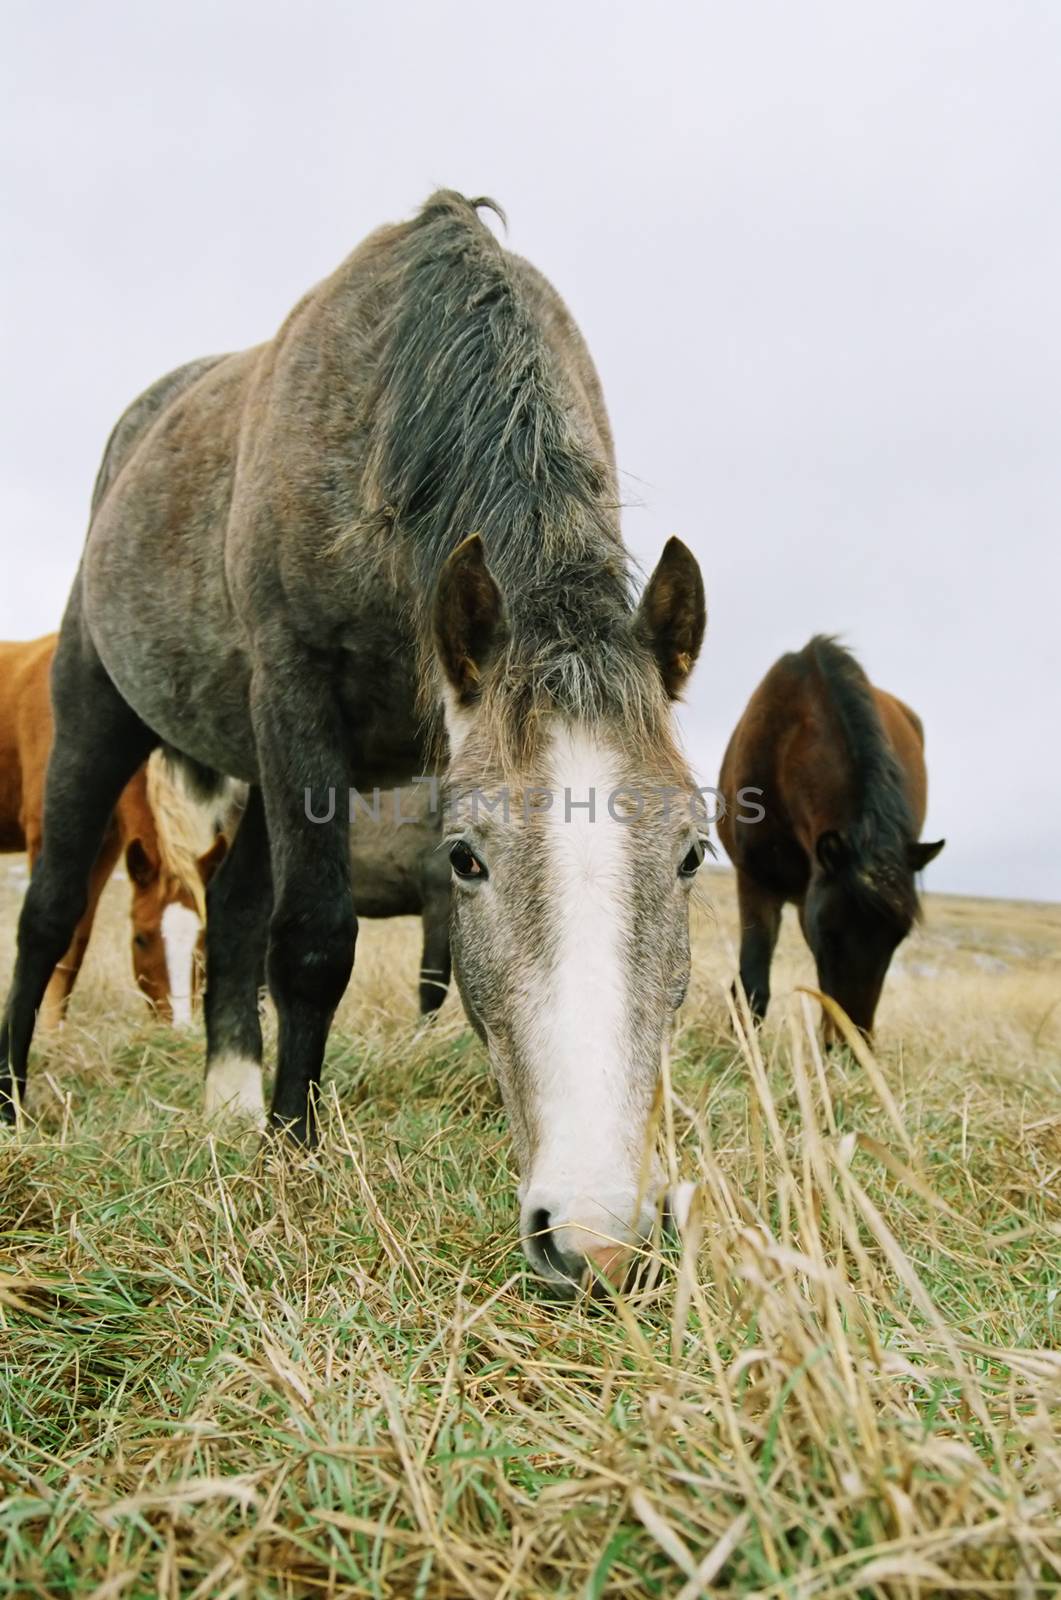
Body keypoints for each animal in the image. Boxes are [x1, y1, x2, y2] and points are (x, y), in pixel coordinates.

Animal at [0, 633, 217, 1024]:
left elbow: (77, 938)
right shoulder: (44, 836)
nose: (180, 1026)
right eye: (141, 937)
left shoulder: (108, 844)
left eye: (203, 940)